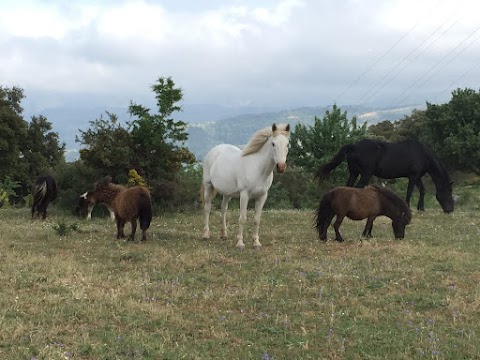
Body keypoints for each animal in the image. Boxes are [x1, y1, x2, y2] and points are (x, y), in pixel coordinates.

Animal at [318, 137, 454, 211]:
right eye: (448, 192)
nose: (450, 209)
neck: (422, 154)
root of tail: (353, 146)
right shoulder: (413, 176)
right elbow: (409, 192)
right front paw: (408, 207)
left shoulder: (417, 177)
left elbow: (422, 190)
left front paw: (421, 208)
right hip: (365, 174)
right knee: (358, 188)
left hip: (354, 173)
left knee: (349, 187)